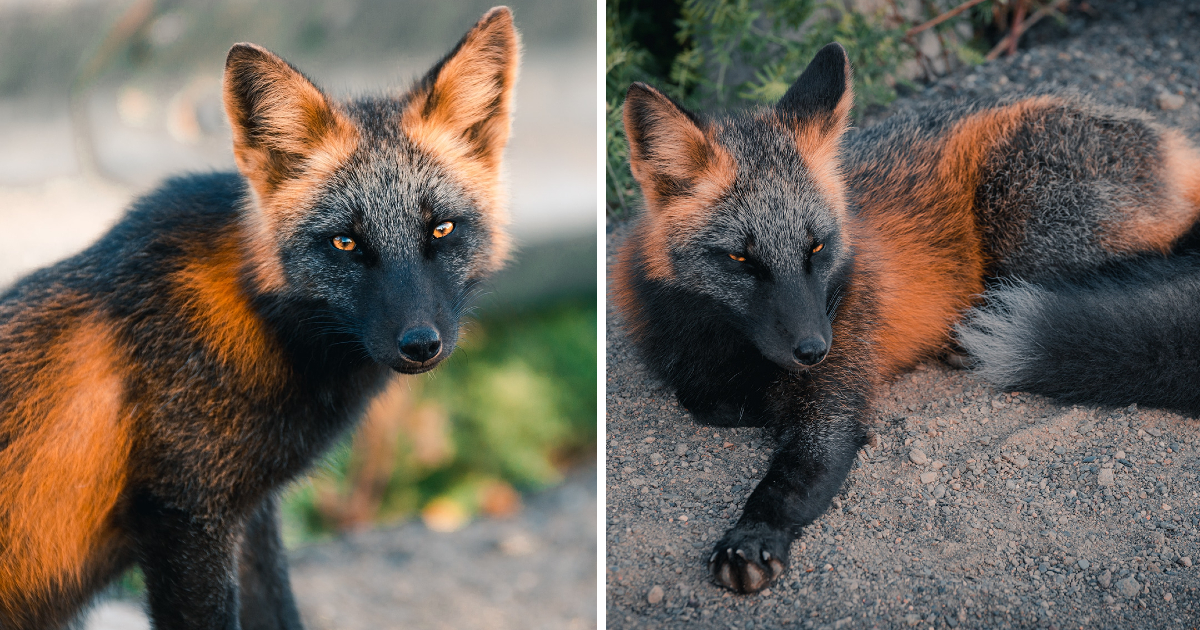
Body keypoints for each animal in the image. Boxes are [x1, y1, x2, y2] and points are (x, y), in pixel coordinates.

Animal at [614, 41, 1200, 592]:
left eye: (817, 248)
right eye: (740, 259)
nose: (814, 350)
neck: (729, 346)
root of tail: (1172, 144)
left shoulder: (836, 395)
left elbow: (792, 477)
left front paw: (754, 536)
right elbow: (704, 400)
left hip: (1027, 225)